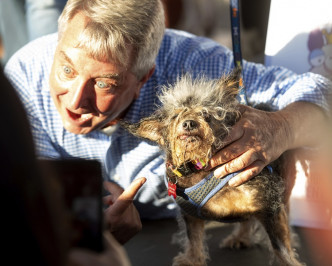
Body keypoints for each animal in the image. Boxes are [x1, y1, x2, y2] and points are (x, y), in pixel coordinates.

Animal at [122, 70, 304, 266]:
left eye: (205, 113)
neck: (198, 166)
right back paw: (240, 237)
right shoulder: (190, 215)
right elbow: (193, 238)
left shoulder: (269, 203)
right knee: (247, 221)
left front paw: (289, 261)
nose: (189, 123)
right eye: (175, 116)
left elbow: (280, 246)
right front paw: (191, 259)